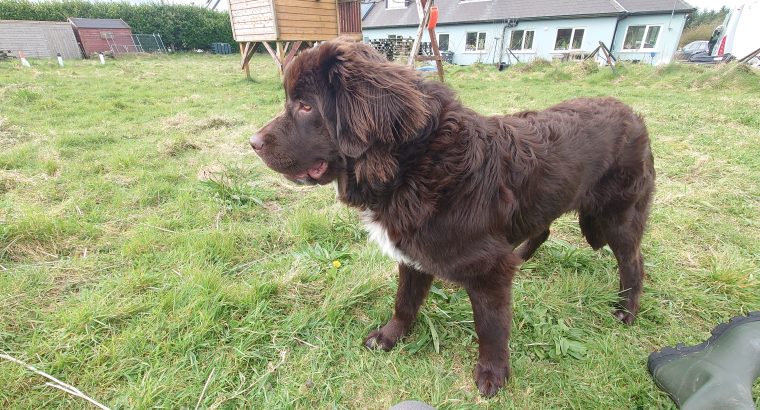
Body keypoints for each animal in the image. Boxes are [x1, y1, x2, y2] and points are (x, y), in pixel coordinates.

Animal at [249, 39, 652, 398]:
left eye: (305, 107)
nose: (253, 143)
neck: (413, 164)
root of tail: (633, 114)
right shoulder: (412, 254)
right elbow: (404, 301)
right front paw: (390, 336)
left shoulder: (489, 271)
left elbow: (491, 328)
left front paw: (493, 374)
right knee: (543, 230)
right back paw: (523, 255)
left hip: (617, 215)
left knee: (633, 261)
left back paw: (626, 310)